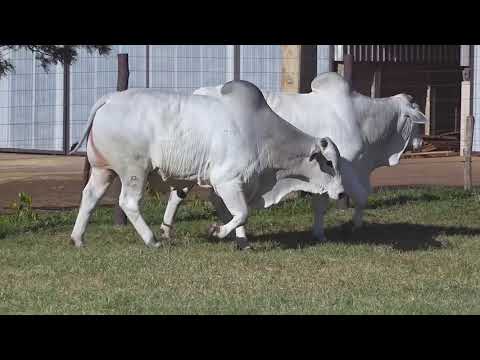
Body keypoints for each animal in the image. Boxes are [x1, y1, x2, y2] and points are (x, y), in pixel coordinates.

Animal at [68, 80, 344, 249]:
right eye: (329, 163)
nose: (341, 193)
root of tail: (110, 99)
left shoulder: (227, 186)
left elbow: (236, 215)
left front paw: (242, 242)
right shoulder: (226, 181)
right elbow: (242, 213)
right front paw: (217, 231)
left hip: (102, 170)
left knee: (90, 196)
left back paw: (78, 239)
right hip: (133, 170)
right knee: (128, 202)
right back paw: (152, 240)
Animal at [159, 72, 426, 242]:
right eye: (418, 122)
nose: (421, 142)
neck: (362, 119)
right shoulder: (344, 171)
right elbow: (356, 198)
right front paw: (346, 228)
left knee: (184, 196)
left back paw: (169, 231)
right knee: (186, 196)